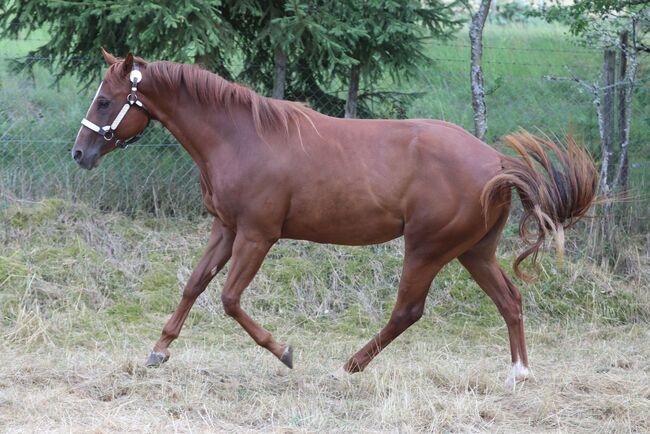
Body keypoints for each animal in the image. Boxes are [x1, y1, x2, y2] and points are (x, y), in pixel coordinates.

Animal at [72, 49, 596, 384]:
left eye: (104, 100)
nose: (79, 154)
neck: (241, 137)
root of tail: (497, 163)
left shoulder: (257, 235)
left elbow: (229, 299)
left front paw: (284, 351)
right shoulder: (226, 228)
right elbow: (194, 285)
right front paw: (158, 351)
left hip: (427, 248)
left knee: (408, 311)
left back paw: (350, 366)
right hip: (474, 252)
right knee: (510, 301)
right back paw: (519, 372)